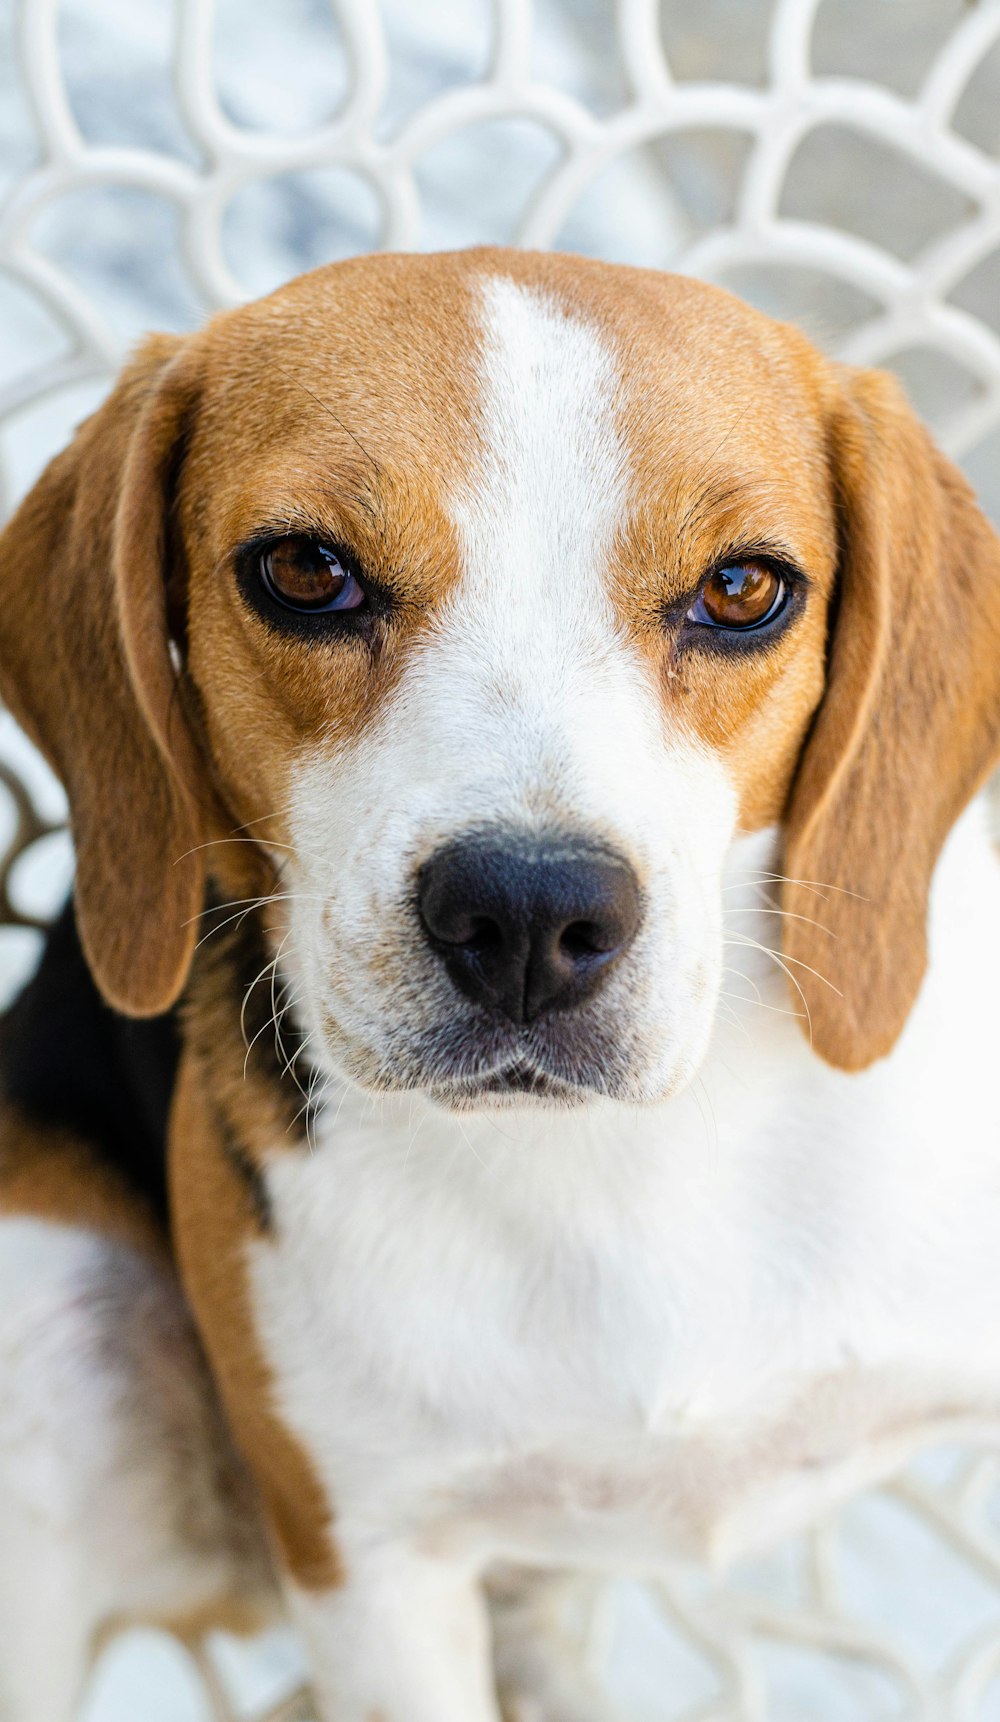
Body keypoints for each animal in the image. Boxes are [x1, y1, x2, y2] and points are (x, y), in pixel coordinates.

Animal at [1, 246, 998, 1722]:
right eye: (305, 569)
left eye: (744, 590)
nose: (528, 913)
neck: (632, 1161)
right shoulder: (373, 1570)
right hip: (56, 1328)